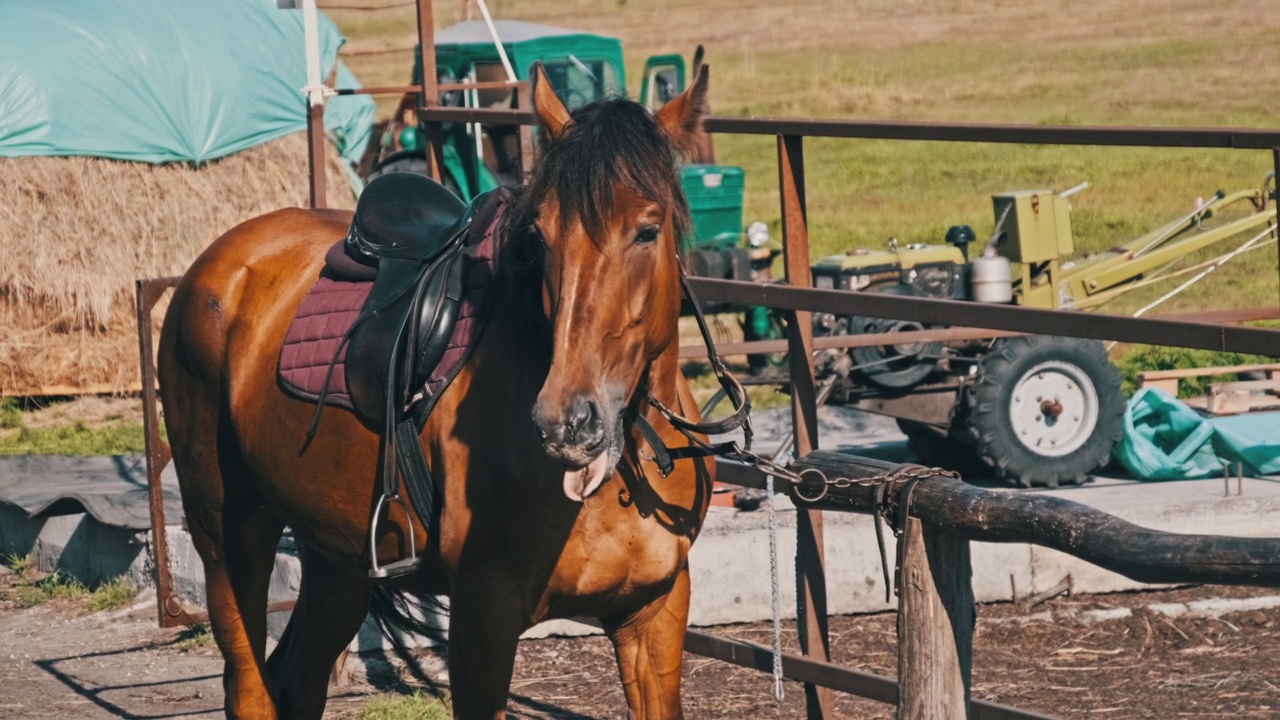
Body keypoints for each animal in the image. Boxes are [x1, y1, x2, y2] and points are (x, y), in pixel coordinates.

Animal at [158, 64, 716, 712]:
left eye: (647, 231)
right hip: (228, 536)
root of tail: (215, 266)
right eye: (542, 236)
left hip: (336, 561)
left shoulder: (653, 611)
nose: (565, 422)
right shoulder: (482, 616)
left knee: (299, 678)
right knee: (249, 686)